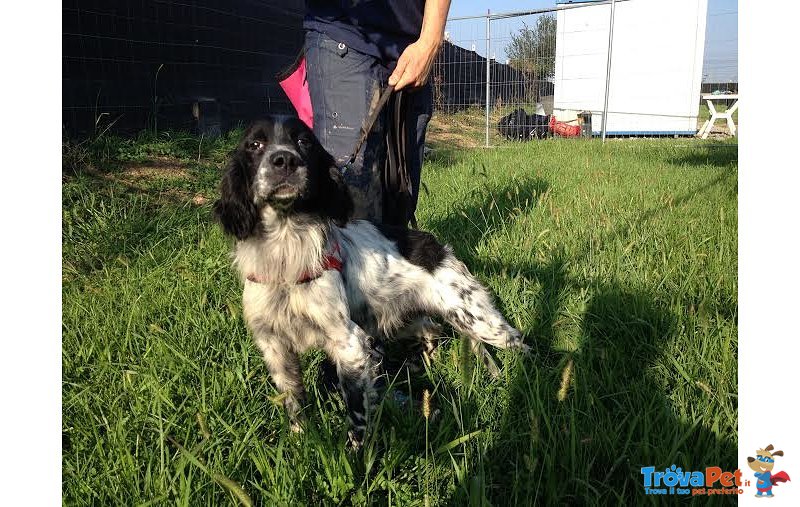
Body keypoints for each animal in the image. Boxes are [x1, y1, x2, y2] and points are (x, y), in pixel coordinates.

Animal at [214, 116, 524, 448]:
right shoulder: (274, 346)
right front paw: (300, 440)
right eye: (255, 144)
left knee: (520, 343)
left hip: (479, 320)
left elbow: (357, 415)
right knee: (432, 329)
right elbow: (294, 403)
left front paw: (355, 454)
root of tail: (434, 244)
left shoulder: (349, 343)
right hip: (403, 320)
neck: (285, 254)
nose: (284, 160)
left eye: (304, 142)